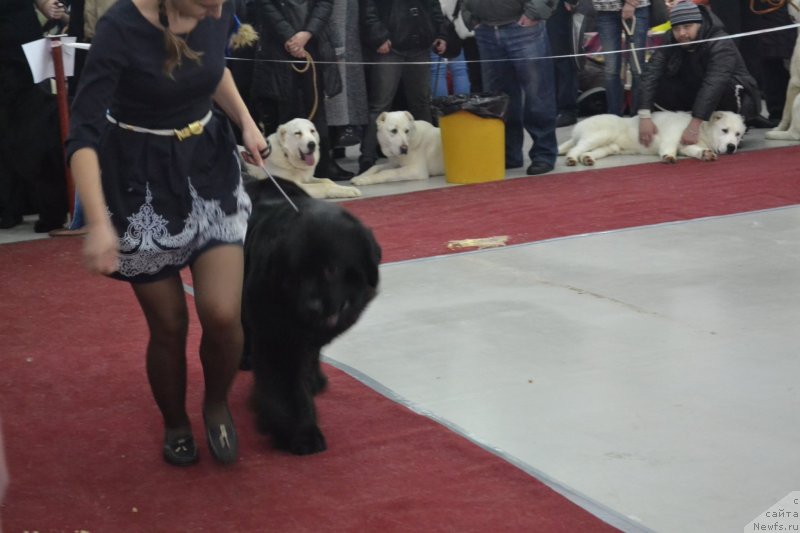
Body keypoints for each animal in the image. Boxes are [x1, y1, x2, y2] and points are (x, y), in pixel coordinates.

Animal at [241, 178, 382, 454]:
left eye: (331, 269)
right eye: (292, 275)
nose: (312, 306)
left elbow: (308, 357)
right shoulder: (276, 337)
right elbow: (286, 387)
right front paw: (301, 433)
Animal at [560, 109, 748, 164]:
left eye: (738, 134)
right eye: (724, 130)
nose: (732, 147)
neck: (701, 129)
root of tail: (578, 126)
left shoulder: (686, 146)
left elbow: (694, 150)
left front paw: (705, 154)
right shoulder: (672, 135)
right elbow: (669, 147)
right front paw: (668, 156)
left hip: (608, 147)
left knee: (587, 152)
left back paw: (587, 159)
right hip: (600, 135)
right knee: (576, 148)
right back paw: (571, 159)